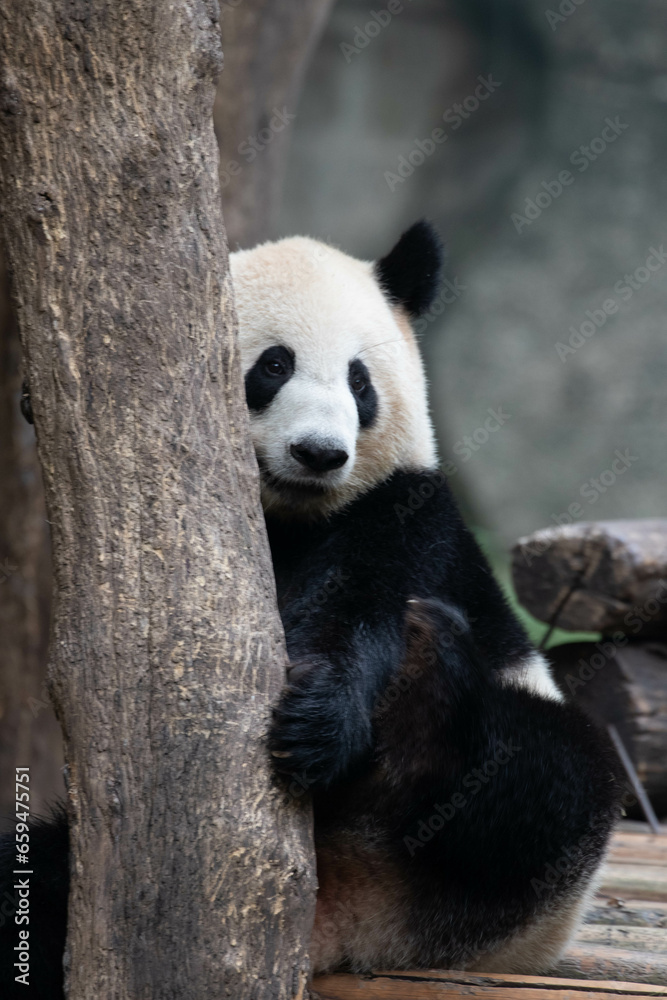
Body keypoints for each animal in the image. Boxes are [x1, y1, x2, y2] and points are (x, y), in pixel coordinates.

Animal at [1, 219, 628, 992]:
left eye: (360, 382)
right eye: (273, 366)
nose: (320, 452)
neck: (293, 514)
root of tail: (352, 915)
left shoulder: (403, 513)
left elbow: (353, 618)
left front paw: (315, 723)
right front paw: (34, 402)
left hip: (540, 873)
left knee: (554, 774)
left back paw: (435, 687)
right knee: (38, 875)